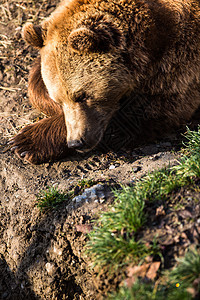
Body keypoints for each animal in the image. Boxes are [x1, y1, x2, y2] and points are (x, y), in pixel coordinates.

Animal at [9, 0, 200, 164]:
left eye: (83, 96)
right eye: (59, 99)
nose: (76, 142)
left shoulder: (178, 60)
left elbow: (151, 110)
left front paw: (26, 142)